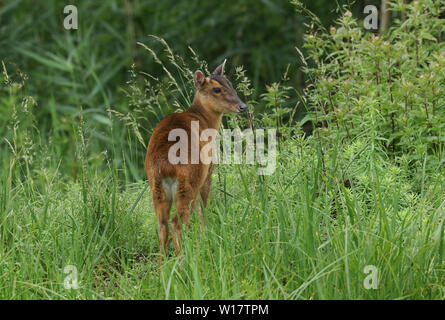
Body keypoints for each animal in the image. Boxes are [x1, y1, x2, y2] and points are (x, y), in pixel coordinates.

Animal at [145, 60, 246, 258]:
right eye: (216, 89)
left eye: (230, 83)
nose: (242, 106)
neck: (203, 120)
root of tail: (165, 167)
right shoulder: (208, 170)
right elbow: (203, 208)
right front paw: (207, 236)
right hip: (188, 183)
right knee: (176, 223)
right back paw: (183, 259)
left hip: (156, 189)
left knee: (162, 225)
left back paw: (163, 263)